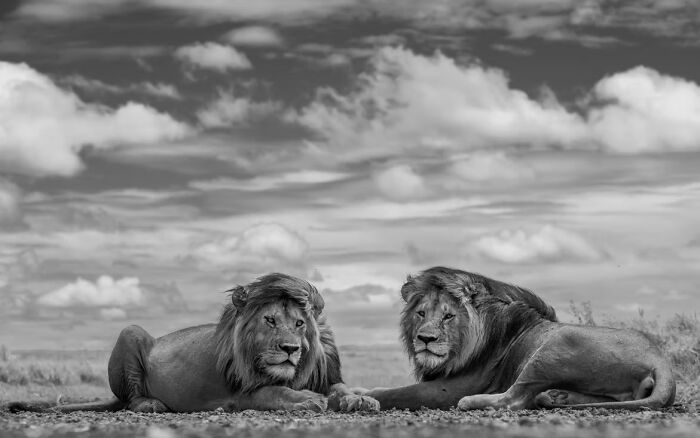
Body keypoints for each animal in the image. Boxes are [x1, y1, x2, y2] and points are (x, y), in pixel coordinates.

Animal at [9, 273, 378, 413]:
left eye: (300, 324)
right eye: (270, 320)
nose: (290, 349)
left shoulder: (328, 375)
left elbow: (342, 388)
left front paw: (361, 399)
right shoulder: (241, 393)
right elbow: (276, 392)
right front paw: (309, 400)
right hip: (130, 332)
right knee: (130, 400)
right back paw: (152, 404)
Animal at [365, 267, 676, 410]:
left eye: (448, 316)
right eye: (420, 313)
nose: (425, 338)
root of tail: (661, 360)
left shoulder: (453, 386)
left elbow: (399, 392)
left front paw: (360, 396)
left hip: (555, 347)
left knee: (513, 399)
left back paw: (472, 402)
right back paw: (556, 396)